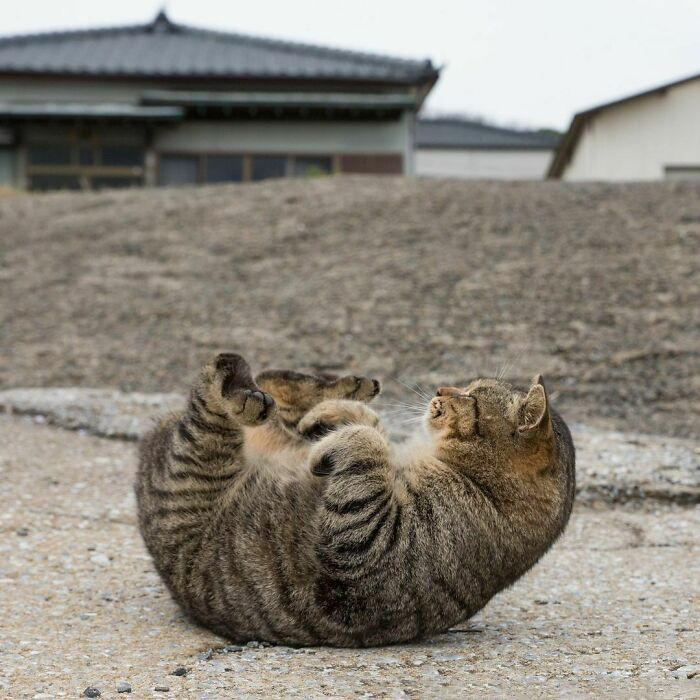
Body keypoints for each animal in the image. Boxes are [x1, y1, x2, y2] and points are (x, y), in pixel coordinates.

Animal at [135, 352, 576, 648]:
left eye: (471, 397)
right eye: (466, 387)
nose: (441, 389)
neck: (481, 486)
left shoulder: (362, 541)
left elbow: (369, 442)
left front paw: (328, 444)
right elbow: (371, 428)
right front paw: (334, 416)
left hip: (195, 458)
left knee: (211, 396)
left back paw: (241, 386)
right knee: (273, 384)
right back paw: (339, 388)